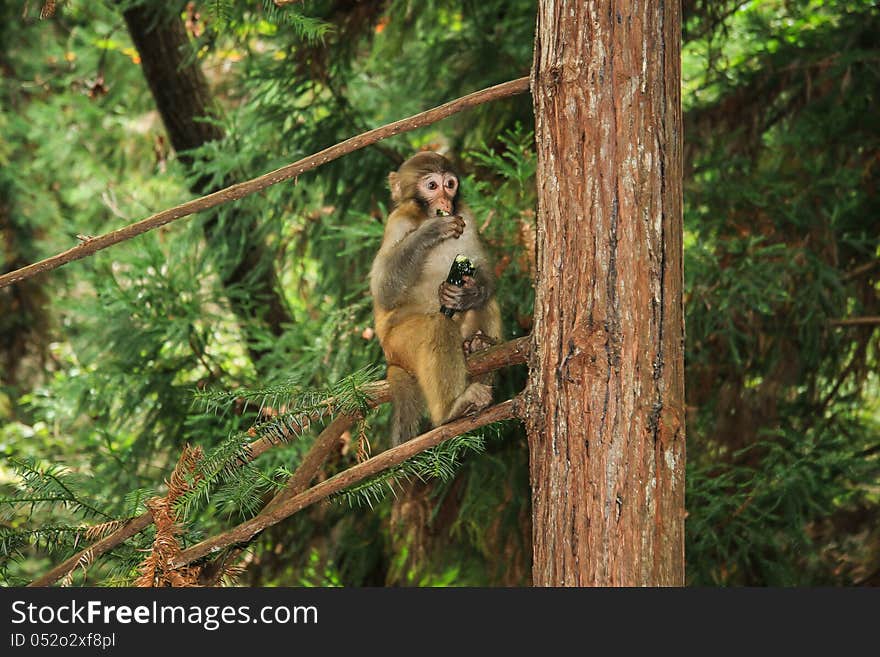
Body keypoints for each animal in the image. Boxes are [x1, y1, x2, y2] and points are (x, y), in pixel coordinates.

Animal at [370, 151, 502, 446]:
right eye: (432, 186)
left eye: (450, 184)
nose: (445, 201)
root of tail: (392, 358)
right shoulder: (398, 221)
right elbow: (383, 290)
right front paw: (430, 231)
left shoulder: (467, 215)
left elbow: (481, 266)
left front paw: (469, 292)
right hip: (400, 344)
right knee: (437, 324)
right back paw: (451, 410)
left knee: (486, 302)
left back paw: (477, 346)